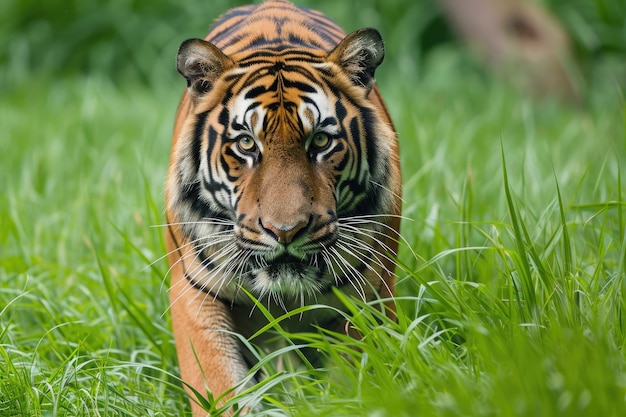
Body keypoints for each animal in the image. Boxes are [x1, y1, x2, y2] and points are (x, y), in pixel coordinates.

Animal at [165, 0, 400, 412]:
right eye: (246, 144)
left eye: (320, 141)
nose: (285, 231)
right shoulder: (194, 290)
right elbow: (219, 386)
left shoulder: (370, 294)